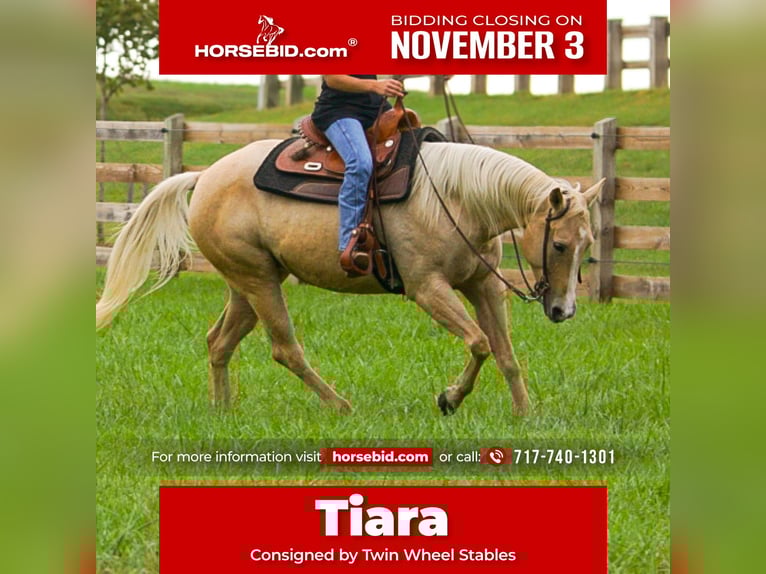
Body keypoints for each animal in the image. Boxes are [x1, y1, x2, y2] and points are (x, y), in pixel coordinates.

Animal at [96, 138, 604, 416]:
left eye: (588, 245)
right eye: (560, 245)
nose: (563, 310)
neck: (459, 198)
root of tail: (203, 177)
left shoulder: (483, 286)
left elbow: (505, 354)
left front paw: (524, 412)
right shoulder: (428, 290)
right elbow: (479, 344)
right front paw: (449, 398)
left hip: (248, 283)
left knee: (219, 342)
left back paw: (223, 409)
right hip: (259, 282)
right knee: (285, 349)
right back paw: (340, 405)